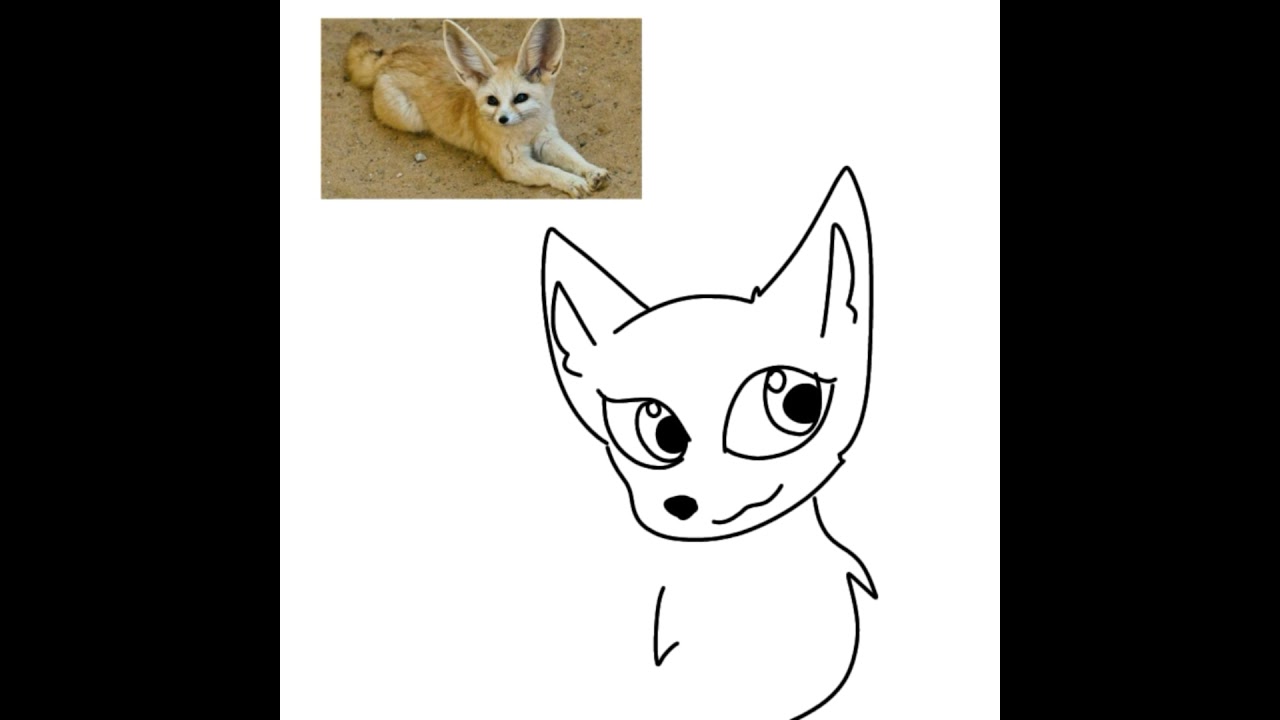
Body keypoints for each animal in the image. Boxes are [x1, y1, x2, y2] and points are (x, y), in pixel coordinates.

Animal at [344, 19, 609, 198]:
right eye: (492, 100)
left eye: (520, 98)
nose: (502, 119)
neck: (526, 131)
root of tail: (390, 55)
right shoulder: (514, 165)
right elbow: (549, 172)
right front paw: (572, 182)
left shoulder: (548, 140)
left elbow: (573, 157)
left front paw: (593, 172)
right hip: (411, 119)